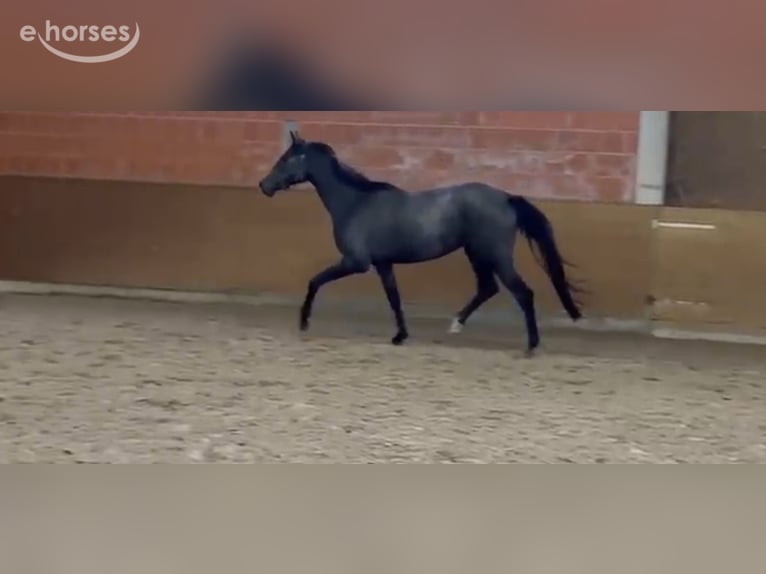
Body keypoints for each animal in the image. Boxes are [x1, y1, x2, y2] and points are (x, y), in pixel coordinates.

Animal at [258, 130, 582, 355]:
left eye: (285, 159)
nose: (264, 186)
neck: (355, 203)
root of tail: (506, 198)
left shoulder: (355, 263)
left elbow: (315, 281)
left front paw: (304, 322)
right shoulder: (383, 264)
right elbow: (394, 299)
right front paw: (400, 336)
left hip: (495, 255)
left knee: (522, 293)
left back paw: (531, 345)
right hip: (475, 253)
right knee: (488, 288)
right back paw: (456, 324)